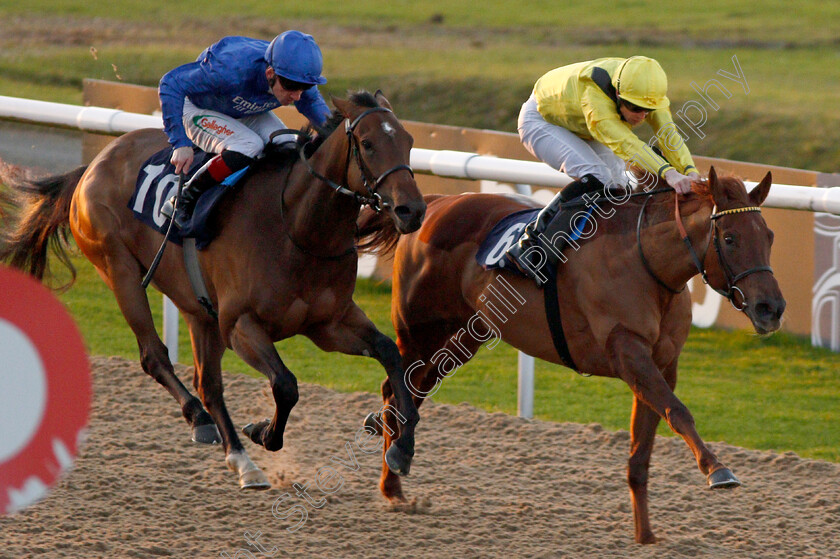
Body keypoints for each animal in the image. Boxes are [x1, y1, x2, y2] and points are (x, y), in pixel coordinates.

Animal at [0, 91, 426, 490]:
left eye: (408, 140)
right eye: (368, 144)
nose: (412, 211)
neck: (297, 228)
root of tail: (97, 161)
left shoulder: (329, 323)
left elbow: (390, 353)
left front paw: (402, 448)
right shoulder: (239, 325)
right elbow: (286, 385)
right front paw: (263, 432)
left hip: (198, 308)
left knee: (208, 384)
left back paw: (241, 459)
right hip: (119, 271)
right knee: (155, 357)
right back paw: (202, 421)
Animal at [360, 168, 788, 544]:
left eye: (769, 236)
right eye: (729, 238)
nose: (771, 308)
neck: (647, 260)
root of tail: (435, 202)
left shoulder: (662, 364)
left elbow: (643, 448)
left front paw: (645, 535)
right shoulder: (627, 350)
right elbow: (678, 411)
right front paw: (718, 470)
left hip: (464, 334)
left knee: (413, 389)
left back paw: (394, 473)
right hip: (418, 329)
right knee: (396, 387)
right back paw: (394, 468)